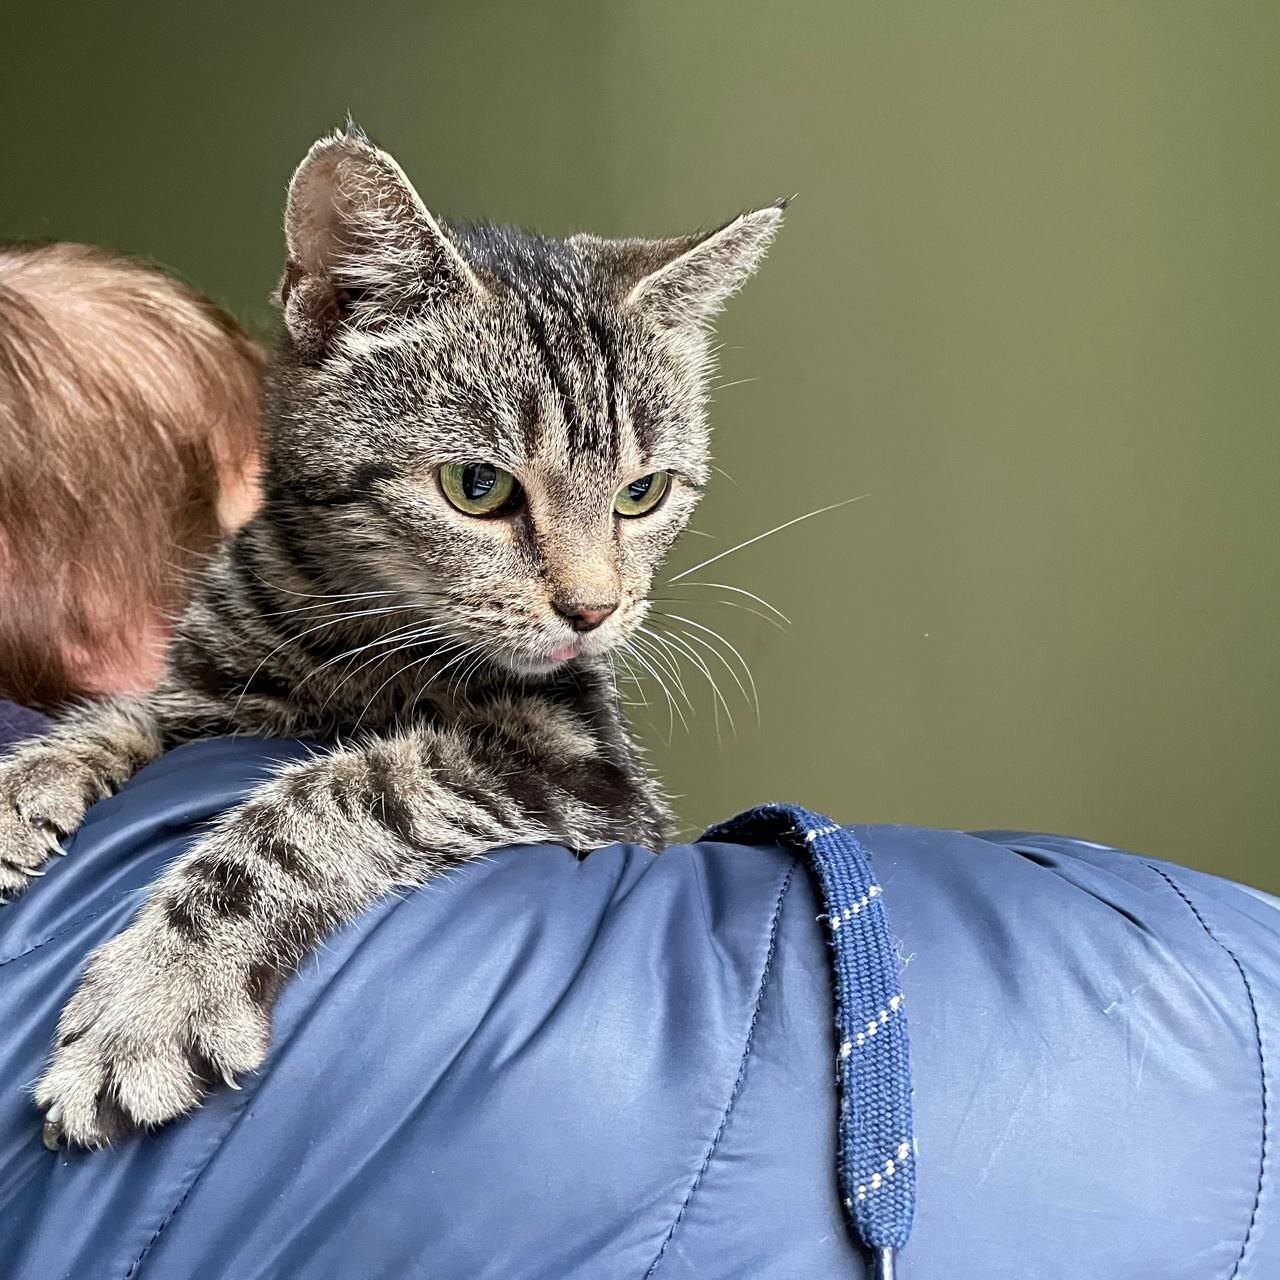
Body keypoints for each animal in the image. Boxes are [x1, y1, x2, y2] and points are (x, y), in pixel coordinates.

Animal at [0, 127, 778, 1152]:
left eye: (642, 493)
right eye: (478, 488)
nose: (593, 610)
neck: (347, 627)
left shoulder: (590, 778)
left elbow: (332, 797)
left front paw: (159, 995)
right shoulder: (209, 695)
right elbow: (128, 712)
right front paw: (27, 779)